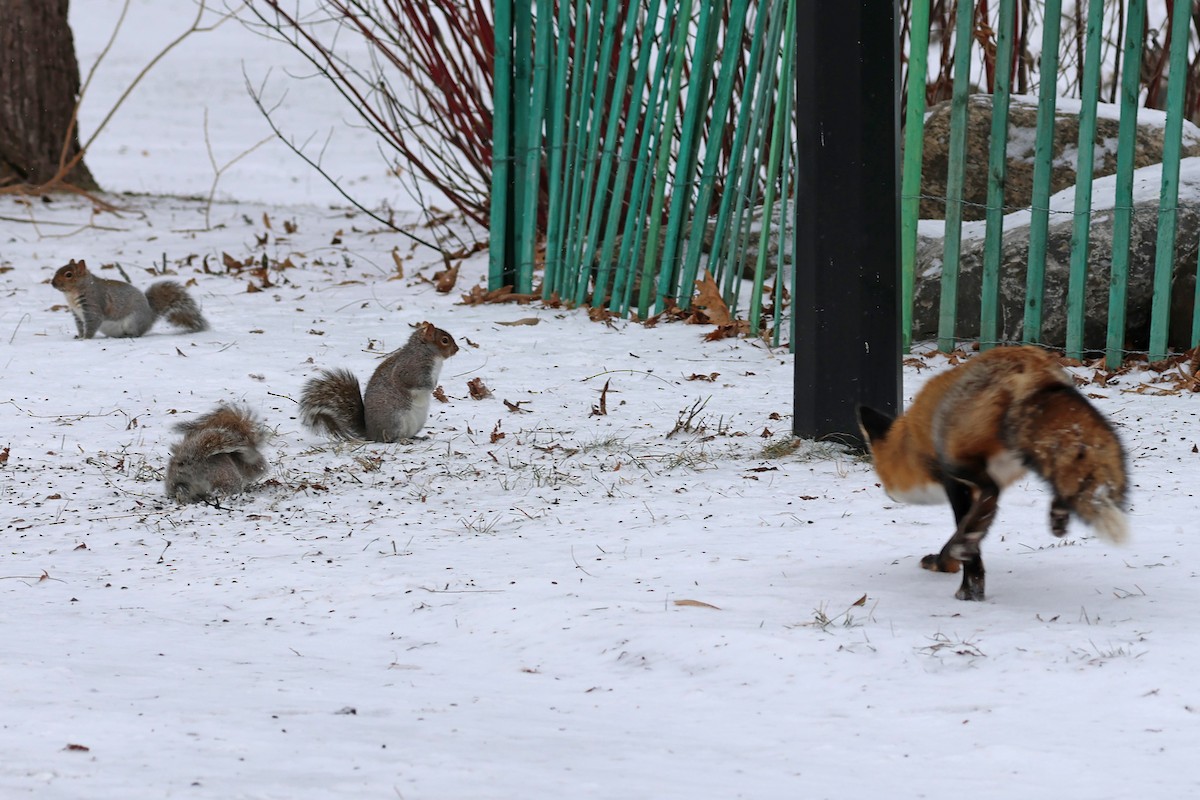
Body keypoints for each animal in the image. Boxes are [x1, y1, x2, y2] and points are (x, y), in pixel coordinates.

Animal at [857, 345, 1128, 601]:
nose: (889, 494)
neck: (912, 442)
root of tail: (1030, 364)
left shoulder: (953, 483)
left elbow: (964, 536)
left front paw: (964, 583)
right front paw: (948, 562)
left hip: (957, 459)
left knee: (991, 493)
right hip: (1044, 446)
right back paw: (1057, 515)